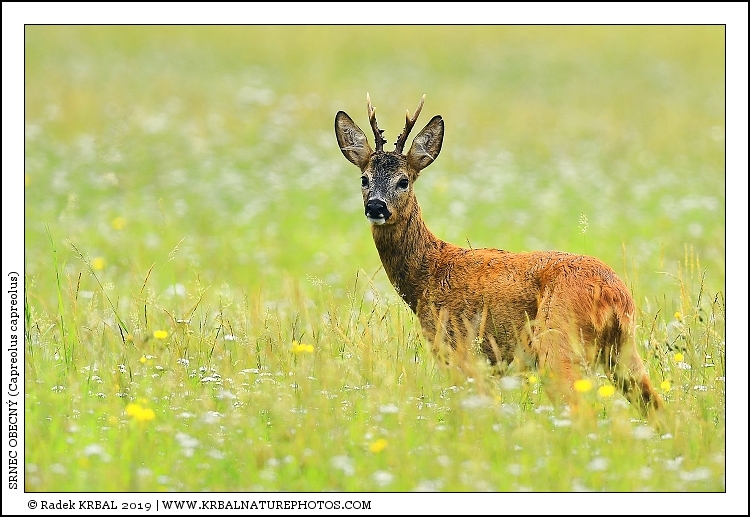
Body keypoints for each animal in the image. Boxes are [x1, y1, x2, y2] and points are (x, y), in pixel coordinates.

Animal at [334, 93, 665, 423]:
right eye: (364, 179)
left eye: (403, 181)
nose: (376, 206)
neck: (427, 274)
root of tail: (613, 294)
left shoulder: (456, 347)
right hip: (623, 351)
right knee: (658, 406)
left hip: (559, 343)